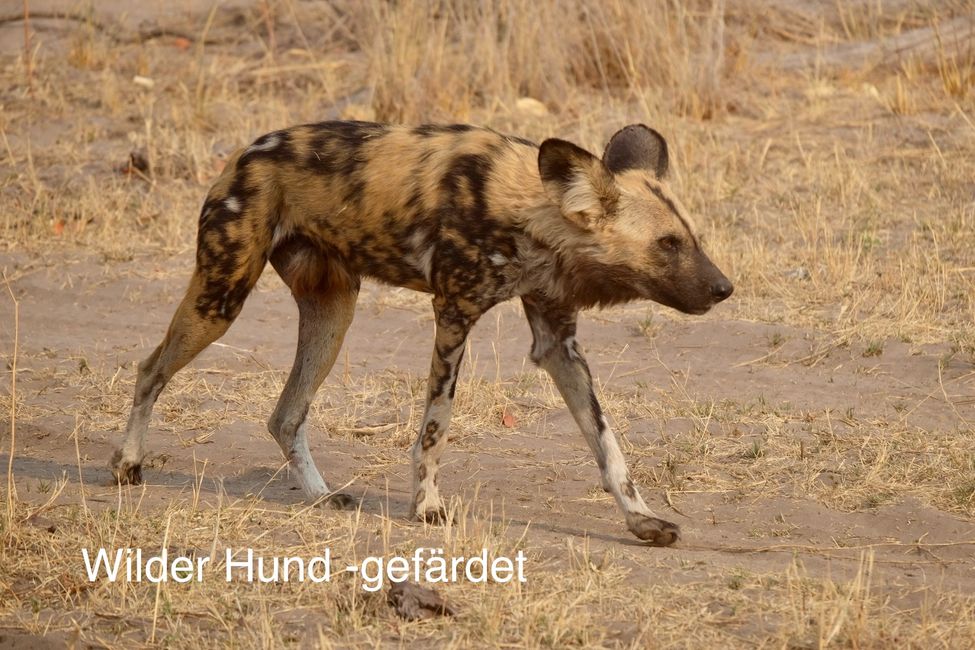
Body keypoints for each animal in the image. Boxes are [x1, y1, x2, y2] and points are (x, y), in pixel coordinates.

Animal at [112, 120, 732, 540]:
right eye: (667, 245)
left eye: (691, 238)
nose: (725, 288)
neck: (531, 213)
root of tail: (245, 152)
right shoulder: (453, 313)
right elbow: (436, 427)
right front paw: (427, 506)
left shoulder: (558, 343)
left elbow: (608, 444)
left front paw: (641, 518)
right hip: (222, 298)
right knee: (150, 369)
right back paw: (127, 464)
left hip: (333, 314)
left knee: (286, 414)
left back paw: (322, 497)